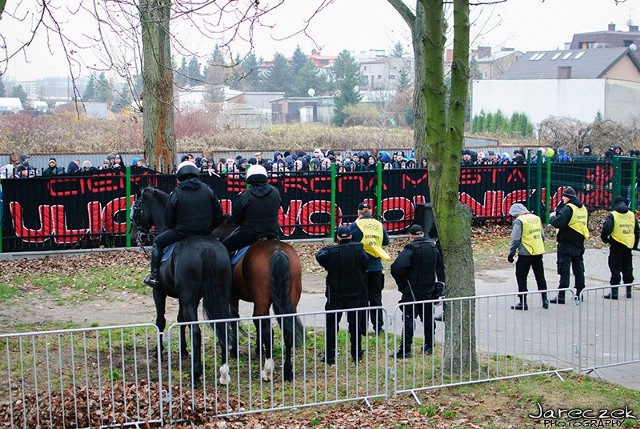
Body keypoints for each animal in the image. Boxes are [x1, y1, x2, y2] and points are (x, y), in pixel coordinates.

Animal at [130, 186, 232, 384]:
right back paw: (224, 372)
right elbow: (180, 320)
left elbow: (161, 321)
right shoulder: (180, 297)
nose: (133, 235)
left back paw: (196, 374)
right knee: (222, 325)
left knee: (196, 331)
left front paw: (158, 353)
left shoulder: (160, 293)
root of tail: (207, 250)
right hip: (216, 295)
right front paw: (183, 351)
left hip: (189, 298)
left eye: (136, 207)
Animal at [212, 216, 302, 380]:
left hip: (262, 301)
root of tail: (277, 251)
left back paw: (267, 370)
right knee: (286, 329)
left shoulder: (233, 298)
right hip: (289, 300)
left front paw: (235, 351)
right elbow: (256, 322)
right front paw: (259, 350)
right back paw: (287, 370)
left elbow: (236, 320)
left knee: (267, 330)